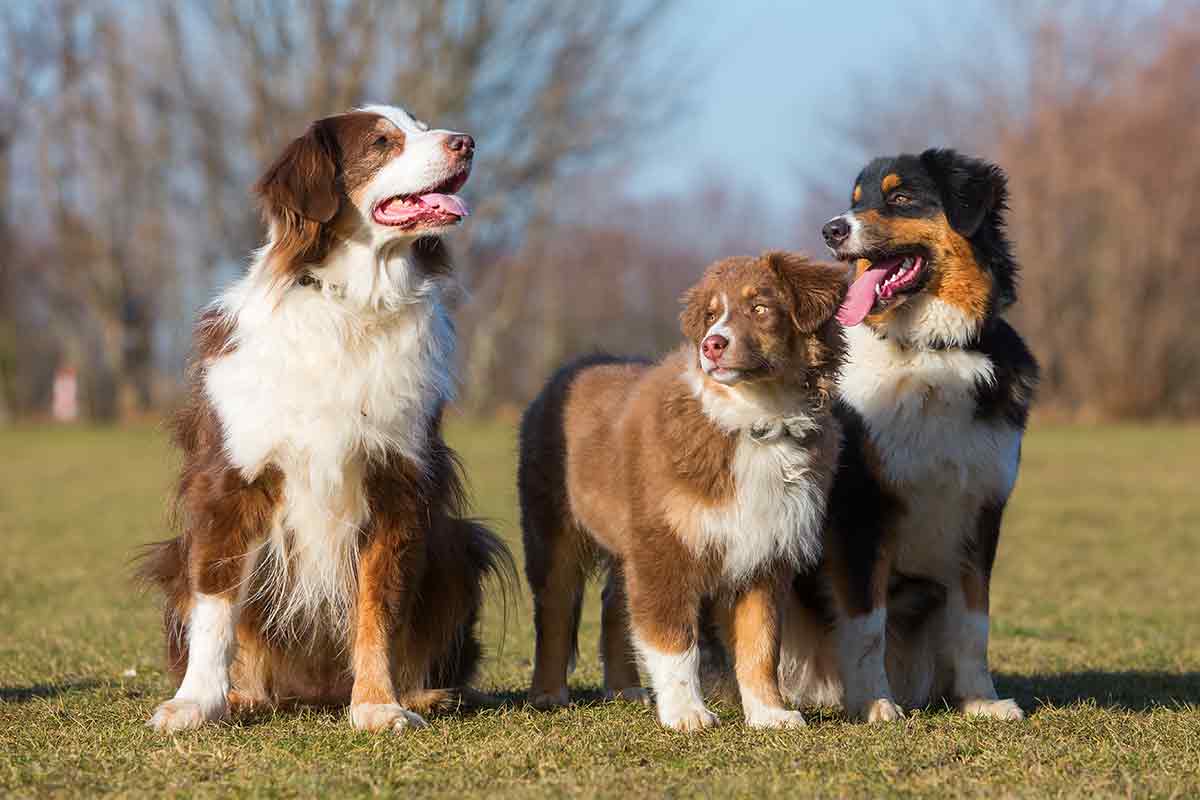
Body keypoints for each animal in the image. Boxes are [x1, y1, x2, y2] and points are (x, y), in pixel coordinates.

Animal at [139, 104, 511, 734]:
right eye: (383, 142)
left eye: (423, 126)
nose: (467, 142)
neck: (350, 303)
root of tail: (315, 691)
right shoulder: (230, 480)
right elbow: (215, 605)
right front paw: (195, 702)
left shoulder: (396, 480)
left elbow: (378, 606)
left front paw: (378, 704)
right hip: (174, 558)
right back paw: (244, 696)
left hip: (458, 548)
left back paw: (426, 694)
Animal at [520, 253, 849, 729]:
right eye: (711, 316)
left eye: (761, 308)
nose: (712, 345)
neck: (756, 421)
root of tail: (569, 369)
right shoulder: (665, 546)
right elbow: (673, 638)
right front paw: (686, 713)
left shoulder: (765, 553)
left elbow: (761, 646)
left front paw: (769, 713)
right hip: (553, 530)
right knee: (556, 610)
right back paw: (547, 693)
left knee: (613, 605)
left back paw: (624, 687)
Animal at [777, 149, 1041, 724]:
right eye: (855, 202)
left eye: (900, 197)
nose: (831, 230)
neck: (929, 352)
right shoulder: (862, 512)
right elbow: (867, 624)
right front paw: (875, 703)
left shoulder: (980, 512)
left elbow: (974, 623)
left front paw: (981, 701)